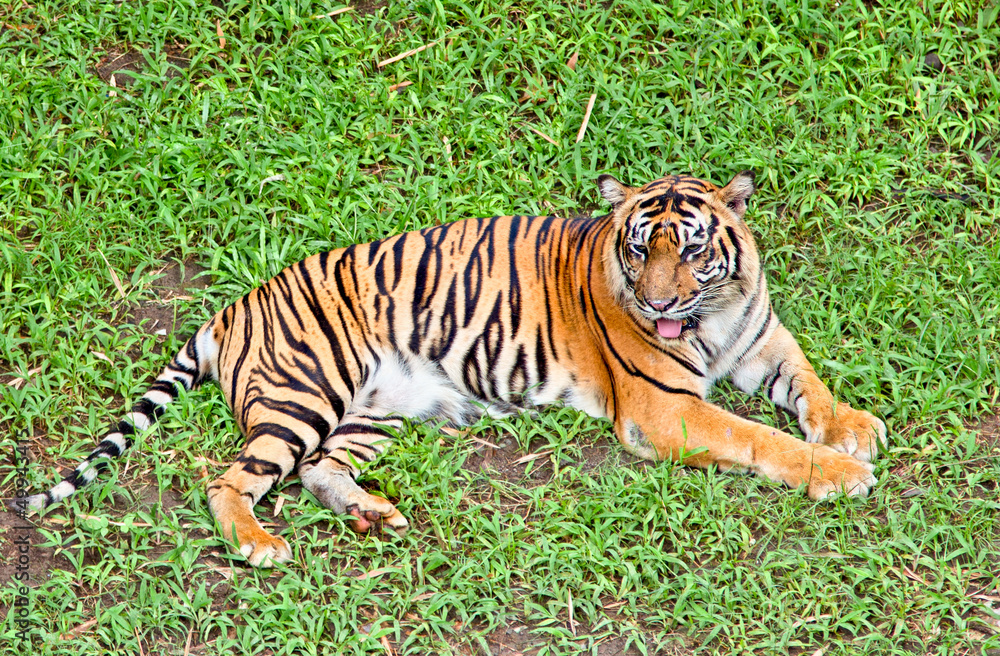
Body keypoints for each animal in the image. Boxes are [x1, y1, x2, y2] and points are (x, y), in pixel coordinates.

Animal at [22, 170, 887, 567]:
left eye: (694, 250)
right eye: (641, 250)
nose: (658, 301)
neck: (714, 317)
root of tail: (232, 308)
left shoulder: (762, 340)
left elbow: (808, 386)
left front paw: (855, 428)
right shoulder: (664, 409)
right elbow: (761, 439)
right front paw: (841, 473)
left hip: (373, 409)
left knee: (320, 470)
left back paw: (373, 513)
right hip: (307, 394)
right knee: (230, 478)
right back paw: (259, 544)